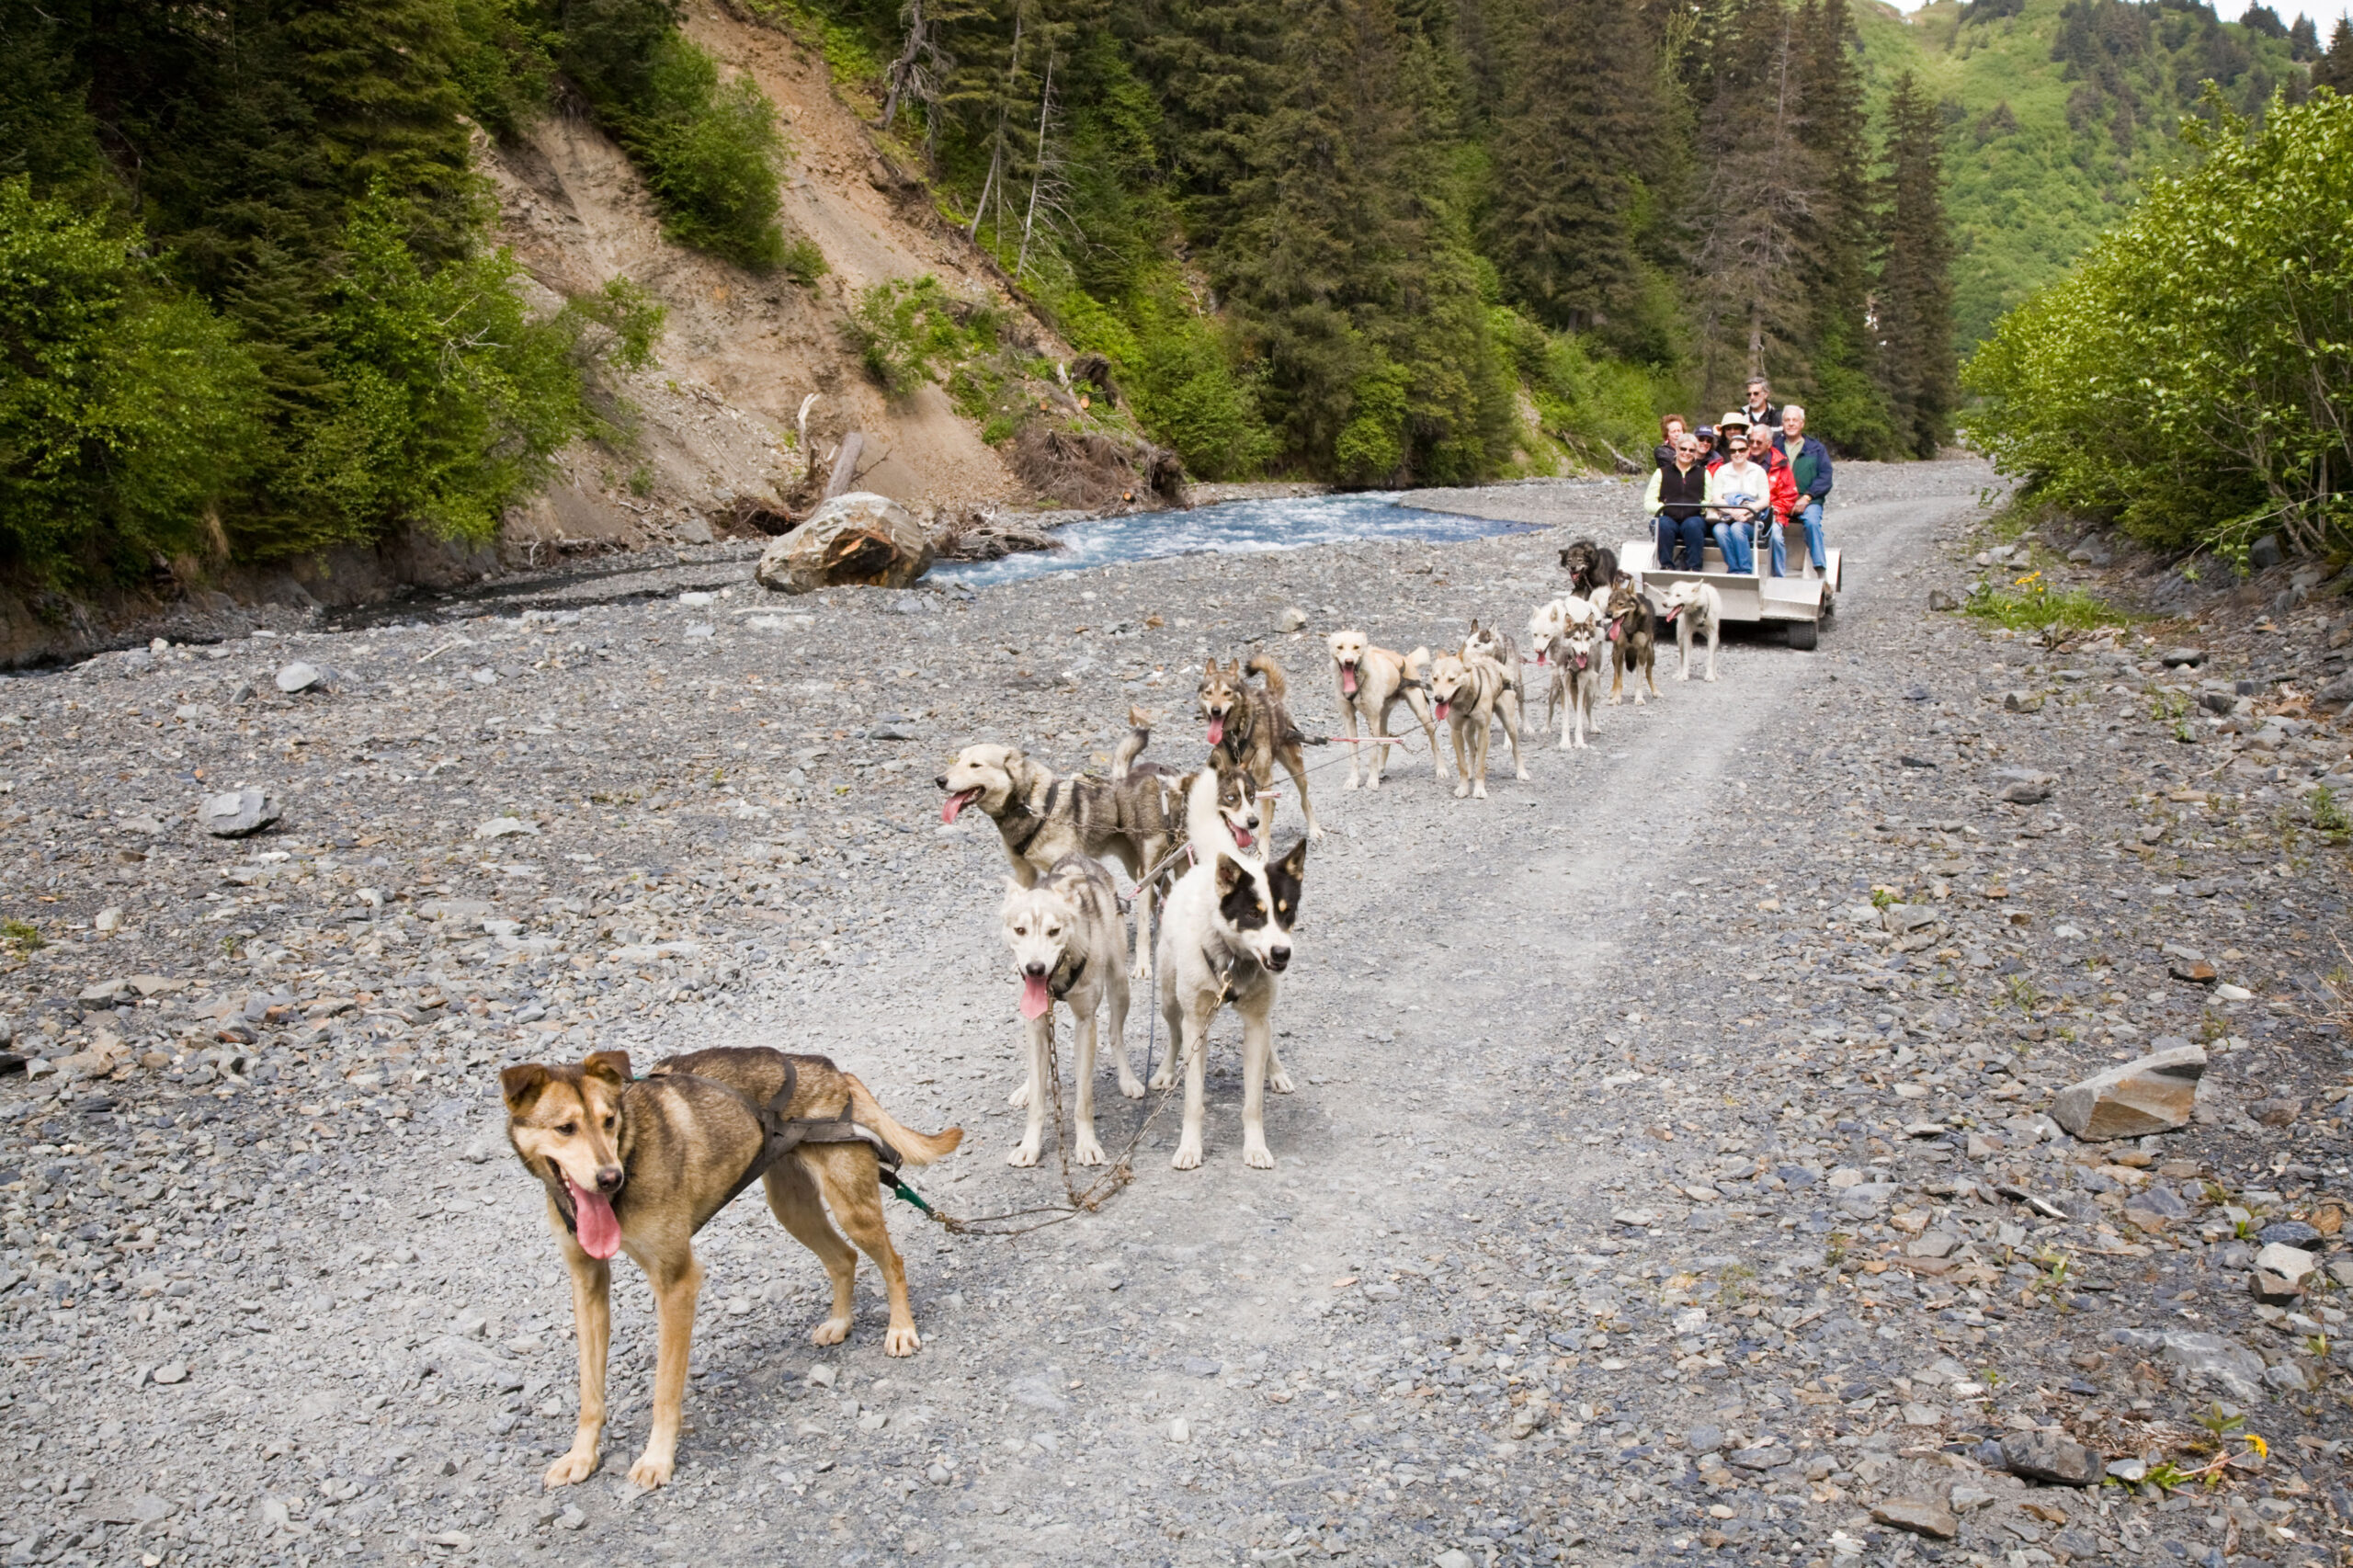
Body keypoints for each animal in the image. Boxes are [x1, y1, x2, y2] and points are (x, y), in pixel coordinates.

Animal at [503, 1045, 955, 1487]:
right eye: (565, 1128)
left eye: (609, 1120)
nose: (609, 1177)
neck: (629, 1152)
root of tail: (833, 1072)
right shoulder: (588, 1284)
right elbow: (590, 1392)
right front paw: (581, 1456)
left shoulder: (676, 1283)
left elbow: (665, 1390)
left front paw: (658, 1459)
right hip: (791, 1209)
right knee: (844, 1258)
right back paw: (840, 1323)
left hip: (851, 1209)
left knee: (893, 1262)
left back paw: (901, 1329)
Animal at [997, 857, 1133, 1158]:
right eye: (1020, 930)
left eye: (1054, 931)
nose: (1035, 968)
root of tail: (1079, 858)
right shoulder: (1036, 1023)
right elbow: (1039, 1099)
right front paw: (1029, 1146)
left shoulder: (1086, 1023)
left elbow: (1084, 1100)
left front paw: (1087, 1145)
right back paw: (1026, 1088)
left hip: (1119, 985)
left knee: (1116, 1035)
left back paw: (1128, 1079)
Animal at [1336, 631, 1439, 786]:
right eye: (1339, 647)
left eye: (1356, 647)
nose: (1349, 661)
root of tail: (1406, 660)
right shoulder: (1349, 717)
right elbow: (1354, 751)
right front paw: (1354, 780)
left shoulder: (1372, 718)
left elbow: (1373, 753)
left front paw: (1372, 781)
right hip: (1382, 716)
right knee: (1386, 739)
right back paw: (1381, 769)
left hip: (1422, 714)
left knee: (1434, 742)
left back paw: (1442, 769)